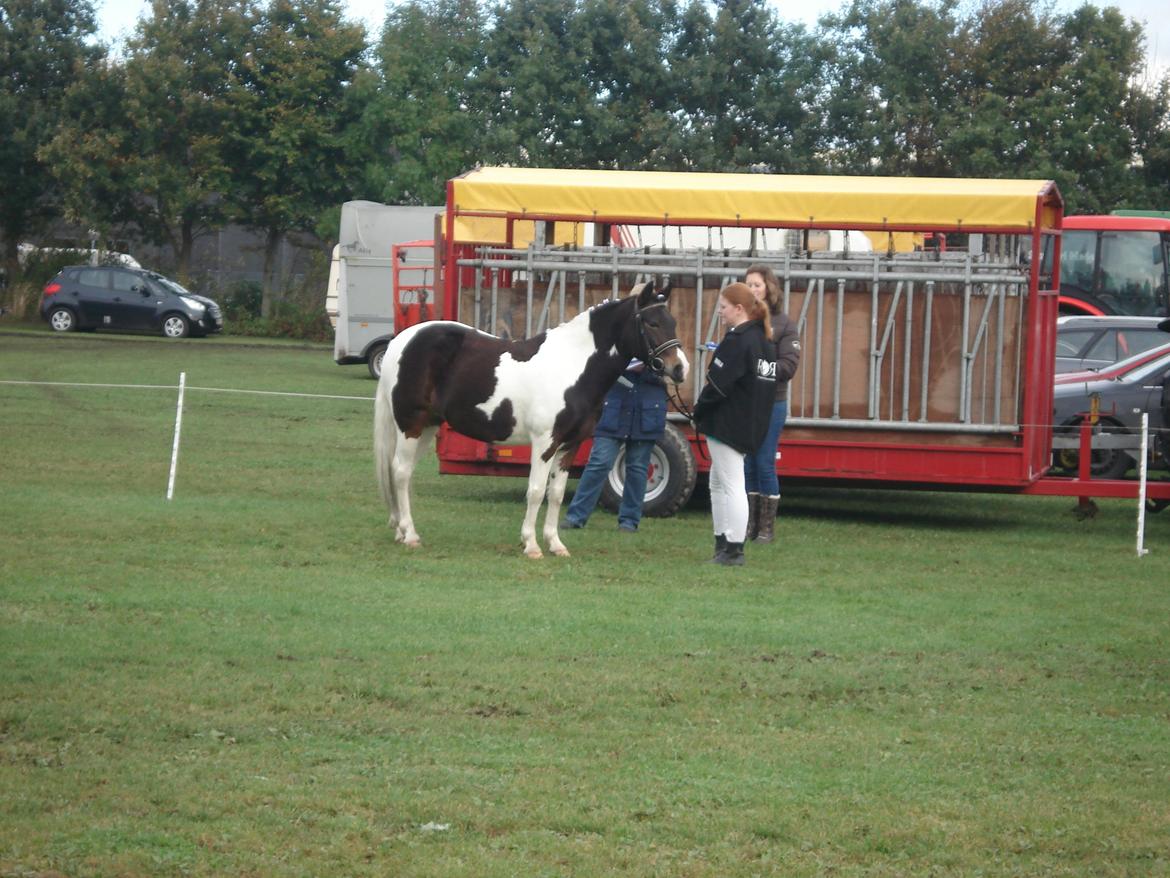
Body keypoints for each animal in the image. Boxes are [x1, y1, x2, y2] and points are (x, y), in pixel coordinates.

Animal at [372, 282, 683, 557]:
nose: (680, 368)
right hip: (410, 424)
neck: (571, 366)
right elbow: (535, 491)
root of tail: (402, 340)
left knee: (402, 472)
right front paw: (531, 545)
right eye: (652, 323)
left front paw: (556, 544)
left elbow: (556, 493)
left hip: (427, 427)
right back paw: (410, 534)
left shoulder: (569, 445)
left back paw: (401, 531)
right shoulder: (545, 443)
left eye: (673, 322)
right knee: (400, 472)